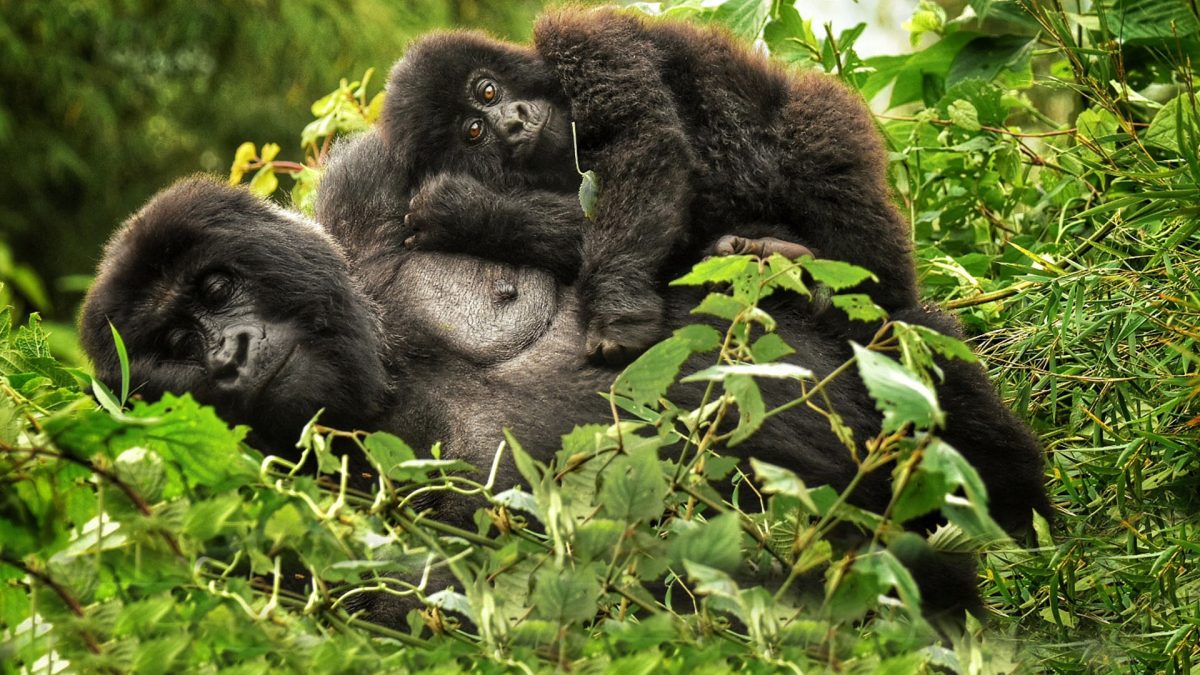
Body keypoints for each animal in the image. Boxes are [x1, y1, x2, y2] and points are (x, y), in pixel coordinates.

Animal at [381, 8, 917, 364]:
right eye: (474, 132)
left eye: (488, 90)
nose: (512, 123)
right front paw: (470, 214)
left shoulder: (584, 41)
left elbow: (645, 139)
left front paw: (617, 312)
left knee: (816, 133)